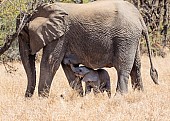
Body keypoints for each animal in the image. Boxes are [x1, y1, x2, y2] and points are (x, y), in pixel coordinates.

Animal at [0, 0, 158, 96]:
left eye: (22, 34)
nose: (26, 98)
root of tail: (139, 16)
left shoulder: (61, 36)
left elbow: (49, 63)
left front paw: (42, 100)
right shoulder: (65, 39)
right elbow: (66, 67)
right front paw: (78, 97)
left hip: (125, 38)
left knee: (123, 68)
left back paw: (120, 97)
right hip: (132, 39)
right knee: (136, 67)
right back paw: (139, 95)